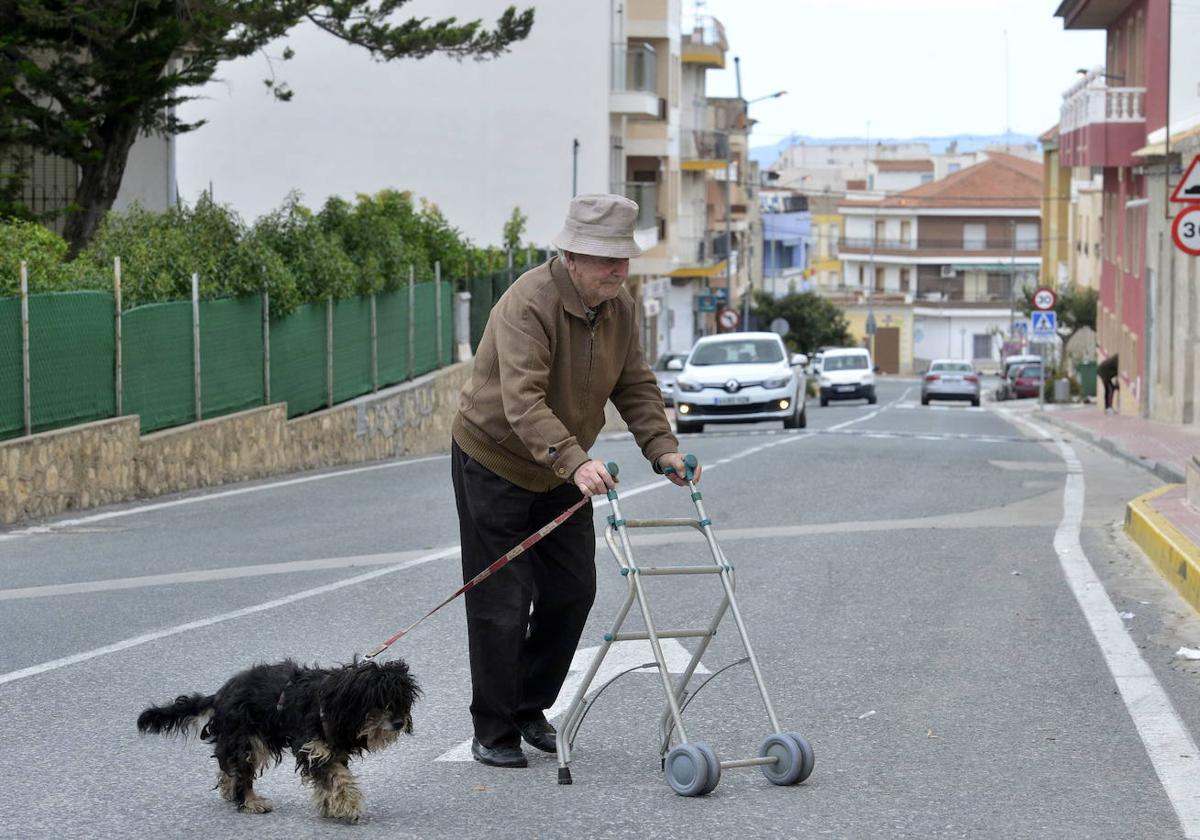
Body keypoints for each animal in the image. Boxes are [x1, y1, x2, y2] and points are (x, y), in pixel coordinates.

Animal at [134, 657, 417, 820]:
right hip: (248, 739)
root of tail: (220, 694)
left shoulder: (329, 750)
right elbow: (338, 778)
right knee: (242, 770)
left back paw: (229, 788)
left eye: (401, 700)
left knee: (229, 766)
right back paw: (250, 801)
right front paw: (348, 805)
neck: (331, 702)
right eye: (378, 700)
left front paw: (330, 805)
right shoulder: (314, 748)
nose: (400, 722)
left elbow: (334, 778)